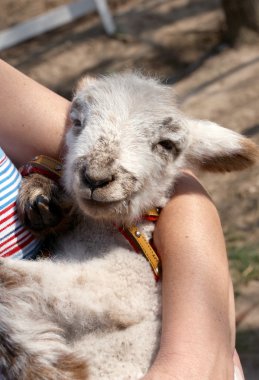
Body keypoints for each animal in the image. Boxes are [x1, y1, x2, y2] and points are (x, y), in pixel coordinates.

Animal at [0, 72, 258, 380]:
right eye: (78, 122)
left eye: (167, 144)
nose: (96, 177)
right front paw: (41, 195)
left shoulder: (128, 286)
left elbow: (19, 281)